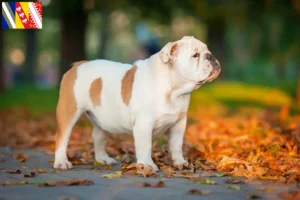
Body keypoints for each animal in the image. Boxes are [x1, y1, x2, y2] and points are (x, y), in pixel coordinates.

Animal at [54, 36, 220, 170]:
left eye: (207, 50)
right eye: (195, 55)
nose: (211, 56)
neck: (173, 89)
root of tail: (78, 65)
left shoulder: (179, 124)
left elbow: (176, 144)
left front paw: (180, 162)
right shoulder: (144, 123)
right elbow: (145, 146)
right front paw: (147, 165)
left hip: (103, 119)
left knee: (98, 137)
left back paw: (103, 159)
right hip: (69, 111)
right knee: (62, 137)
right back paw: (61, 162)